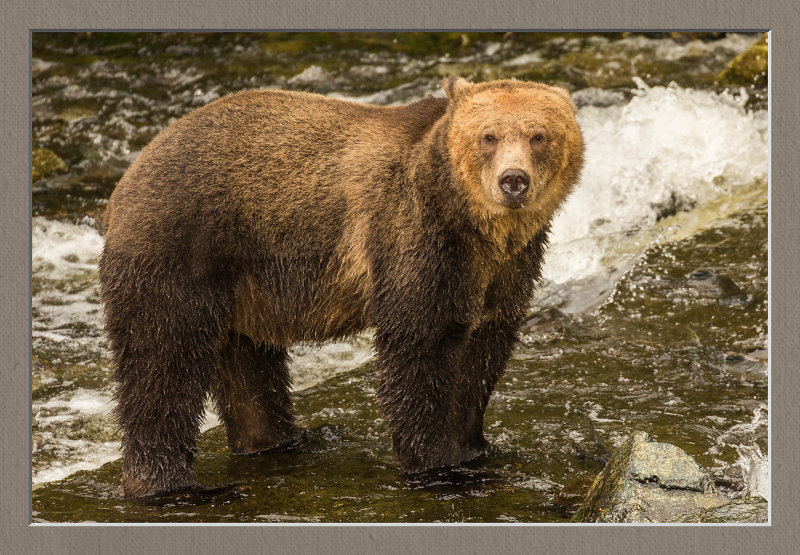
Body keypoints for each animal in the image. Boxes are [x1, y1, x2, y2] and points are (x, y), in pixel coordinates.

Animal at [100, 75, 584, 500]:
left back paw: (285, 439)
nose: (513, 180)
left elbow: (482, 352)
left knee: (248, 361)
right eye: (488, 136)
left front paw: (474, 448)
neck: (476, 227)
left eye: (538, 135)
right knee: (163, 361)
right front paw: (437, 466)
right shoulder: (417, 237)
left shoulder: (506, 270)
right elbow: (419, 346)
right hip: (181, 248)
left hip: (244, 285)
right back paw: (173, 487)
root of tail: (130, 174)